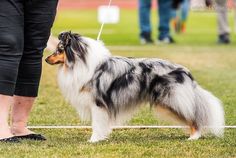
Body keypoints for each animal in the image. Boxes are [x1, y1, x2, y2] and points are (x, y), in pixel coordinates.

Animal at [45, 31, 225, 143]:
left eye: (59, 50)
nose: (46, 59)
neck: (79, 62)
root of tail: (185, 71)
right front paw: (102, 137)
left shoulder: (98, 103)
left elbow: (96, 124)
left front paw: (93, 140)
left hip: (172, 100)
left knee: (194, 117)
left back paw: (194, 136)